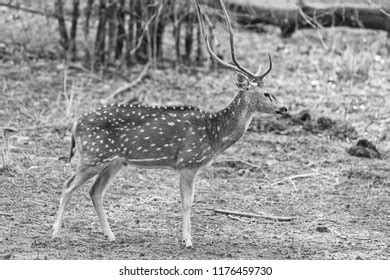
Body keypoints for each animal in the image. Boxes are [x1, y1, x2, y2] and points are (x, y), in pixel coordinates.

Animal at [52, 0, 286, 247]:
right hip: (94, 155)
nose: (284, 108)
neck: (214, 133)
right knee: (68, 185)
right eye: (267, 93)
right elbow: (187, 202)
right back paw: (56, 232)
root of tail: (75, 124)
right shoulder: (188, 162)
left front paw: (187, 238)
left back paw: (111, 235)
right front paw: (188, 241)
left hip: (114, 161)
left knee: (95, 191)